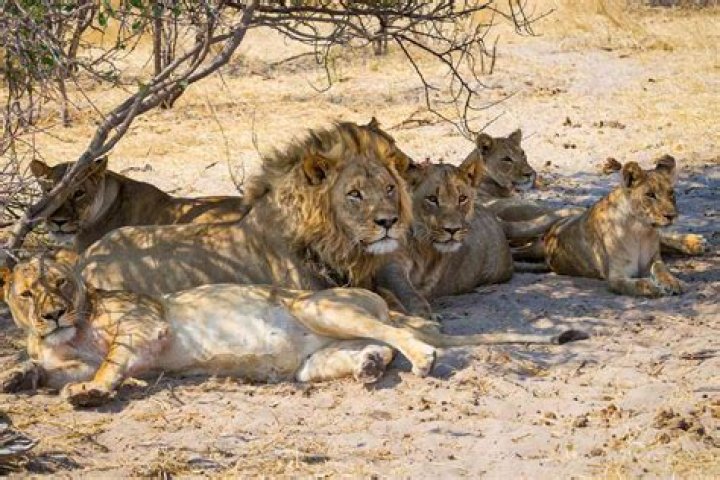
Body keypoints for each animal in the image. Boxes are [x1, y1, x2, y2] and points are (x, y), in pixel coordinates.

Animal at [1, 254, 587, 407]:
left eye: (60, 283)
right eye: (28, 293)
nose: (52, 314)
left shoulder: (146, 325)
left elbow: (110, 361)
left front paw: (90, 392)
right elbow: (41, 369)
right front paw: (18, 377)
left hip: (318, 305)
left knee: (407, 336)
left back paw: (423, 359)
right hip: (312, 361)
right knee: (372, 349)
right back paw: (368, 366)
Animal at [543, 158, 685, 297]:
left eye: (671, 193)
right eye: (650, 194)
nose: (671, 216)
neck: (640, 230)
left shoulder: (653, 260)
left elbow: (662, 270)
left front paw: (673, 282)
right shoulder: (615, 277)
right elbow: (638, 284)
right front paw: (653, 287)